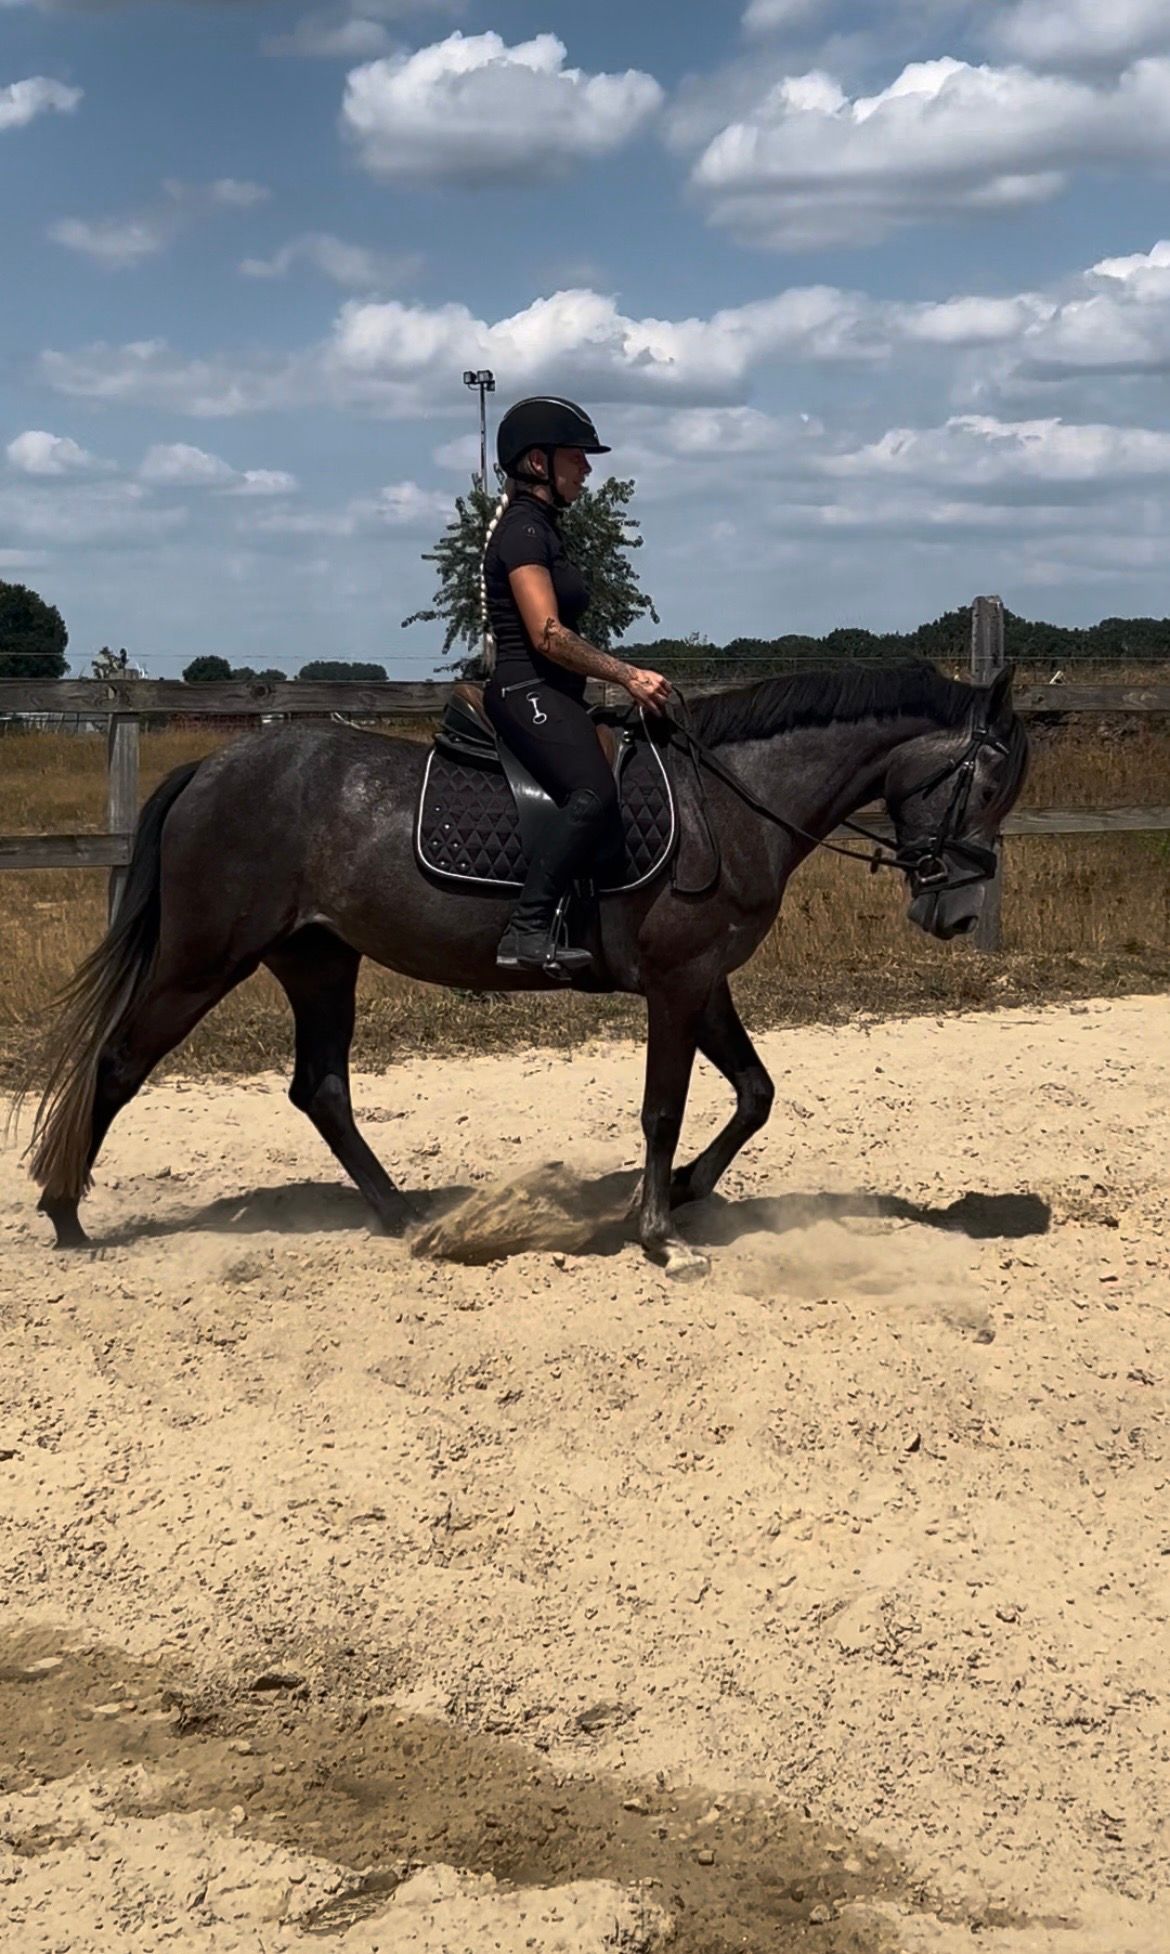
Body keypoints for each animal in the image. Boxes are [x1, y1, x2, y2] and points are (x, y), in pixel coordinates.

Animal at [24, 661, 1028, 1278]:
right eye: (983, 785)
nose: (957, 913)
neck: (730, 801)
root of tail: (209, 767)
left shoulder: (706, 980)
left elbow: (755, 1093)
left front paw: (683, 1194)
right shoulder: (677, 983)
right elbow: (665, 1108)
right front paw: (660, 1234)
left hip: (318, 961)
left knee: (321, 1088)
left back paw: (406, 1220)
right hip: (204, 961)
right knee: (120, 1063)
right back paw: (66, 1214)